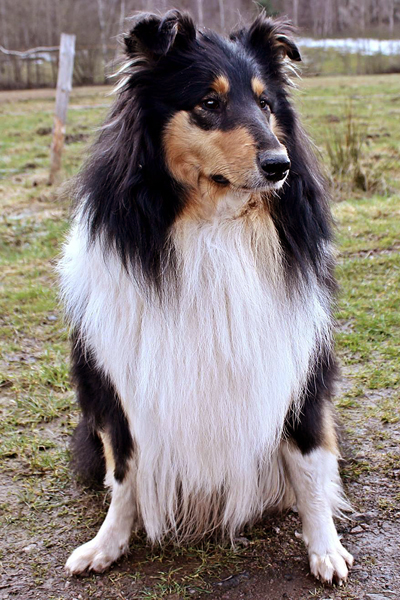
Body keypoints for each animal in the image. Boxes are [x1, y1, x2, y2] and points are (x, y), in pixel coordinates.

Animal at [59, 10, 354, 584]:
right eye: (209, 103)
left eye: (266, 103)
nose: (280, 165)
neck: (213, 227)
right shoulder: (122, 387)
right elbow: (125, 473)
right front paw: (108, 543)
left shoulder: (298, 371)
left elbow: (310, 466)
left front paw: (325, 548)